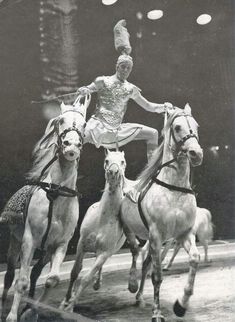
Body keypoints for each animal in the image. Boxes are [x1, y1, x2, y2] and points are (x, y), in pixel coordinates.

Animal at [0, 96, 90, 322]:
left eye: (84, 123)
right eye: (61, 121)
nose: (71, 146)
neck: (56, 193)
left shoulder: (60, 244)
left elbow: (52, 280)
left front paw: (31, 310)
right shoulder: (29, 240)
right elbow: (21, 282)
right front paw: (12, 315)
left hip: (46, 250)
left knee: (36, 273)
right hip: (14, 243)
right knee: (10, 275)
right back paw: (5, 304)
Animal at [59, 150, 127, 312]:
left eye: (122, 161)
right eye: (107, 160)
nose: (113, 172)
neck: (103, 219)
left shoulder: (104, 252)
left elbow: (86, 278)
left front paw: (70, 306)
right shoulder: (81, 245)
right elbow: (75, 272)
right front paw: (65, 301)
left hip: (109, 252)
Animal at [120, 104, 203, 320]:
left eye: (196, 125)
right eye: (177, 127)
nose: (196, 153)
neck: (174, 189)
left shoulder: (183, 234)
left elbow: (194, 259)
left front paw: (181, 304)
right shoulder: (156, 235)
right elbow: (157, 277)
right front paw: (157, 313)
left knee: (146, 263)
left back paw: (139, 296)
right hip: (131, 231)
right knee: (136, 253)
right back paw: (132, 284)